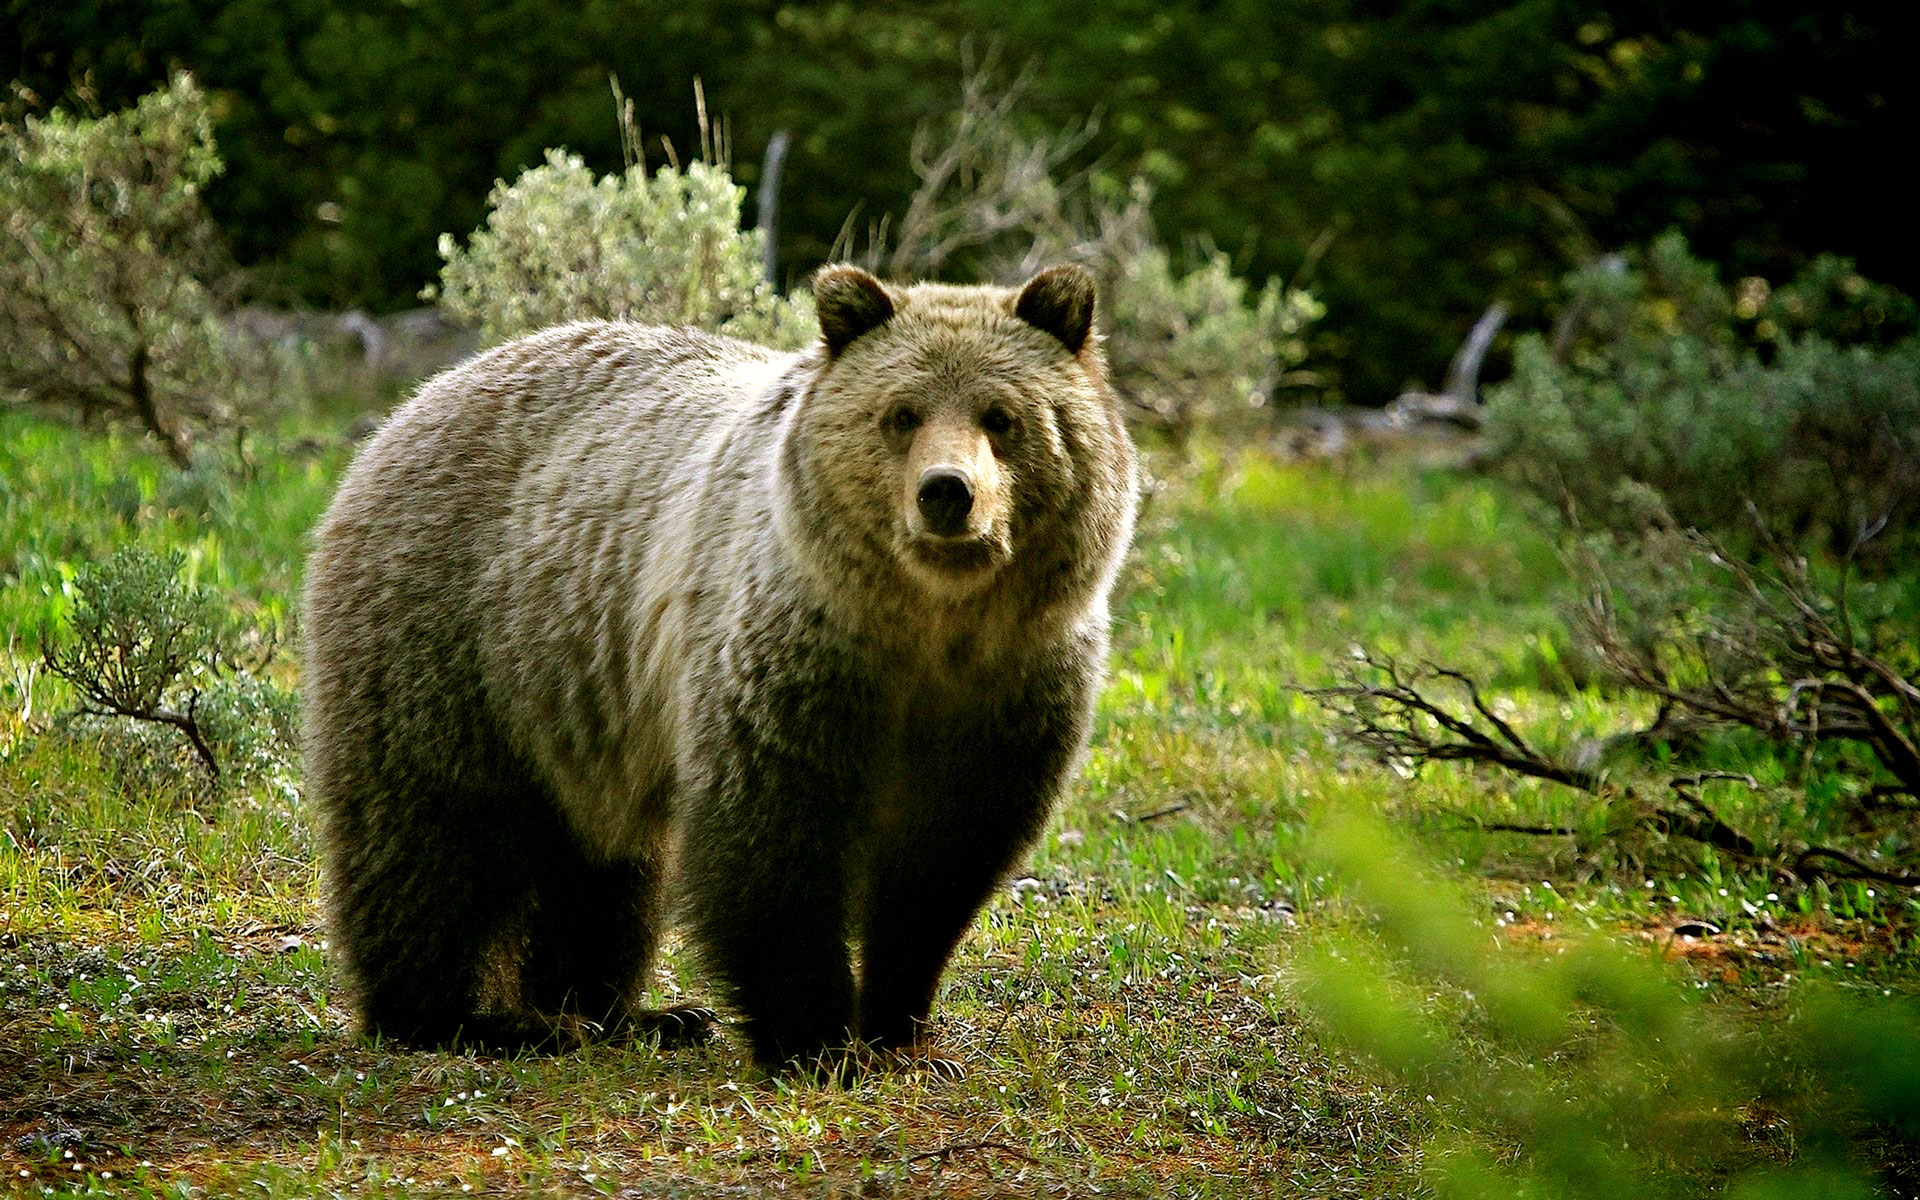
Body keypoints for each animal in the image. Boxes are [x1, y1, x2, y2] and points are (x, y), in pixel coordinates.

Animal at [301, 261, 1136, 1067]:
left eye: (1001, 416)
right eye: (902, 414)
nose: (947, 494)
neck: (927, 625)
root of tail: (416, 401)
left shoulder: (1011, 685)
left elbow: (943, 865)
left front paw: (904, 1033)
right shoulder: (790, 657)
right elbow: (772, 843)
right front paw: (817, 1039)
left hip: (579, 712)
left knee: (607, 870)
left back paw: (624, 1014)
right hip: (455, 640)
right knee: (431, 835)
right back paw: (469, 1020)